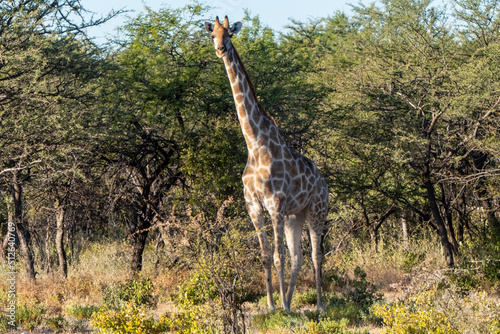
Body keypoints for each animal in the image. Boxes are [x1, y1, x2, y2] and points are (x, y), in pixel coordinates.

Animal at [203, 16, 328, 314]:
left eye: (230, 34)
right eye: (213, 34)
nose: (220, 49)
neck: (254, 143)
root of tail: (324, 183)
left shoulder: (274, 205)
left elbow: (277, 256)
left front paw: (281, 307)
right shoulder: (253, 206)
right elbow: (264, 255)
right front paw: (272, 305)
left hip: (316, 211)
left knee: (316, 255)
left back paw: (318, 305)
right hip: (296, 216)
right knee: (298, 257)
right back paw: (290, 301)